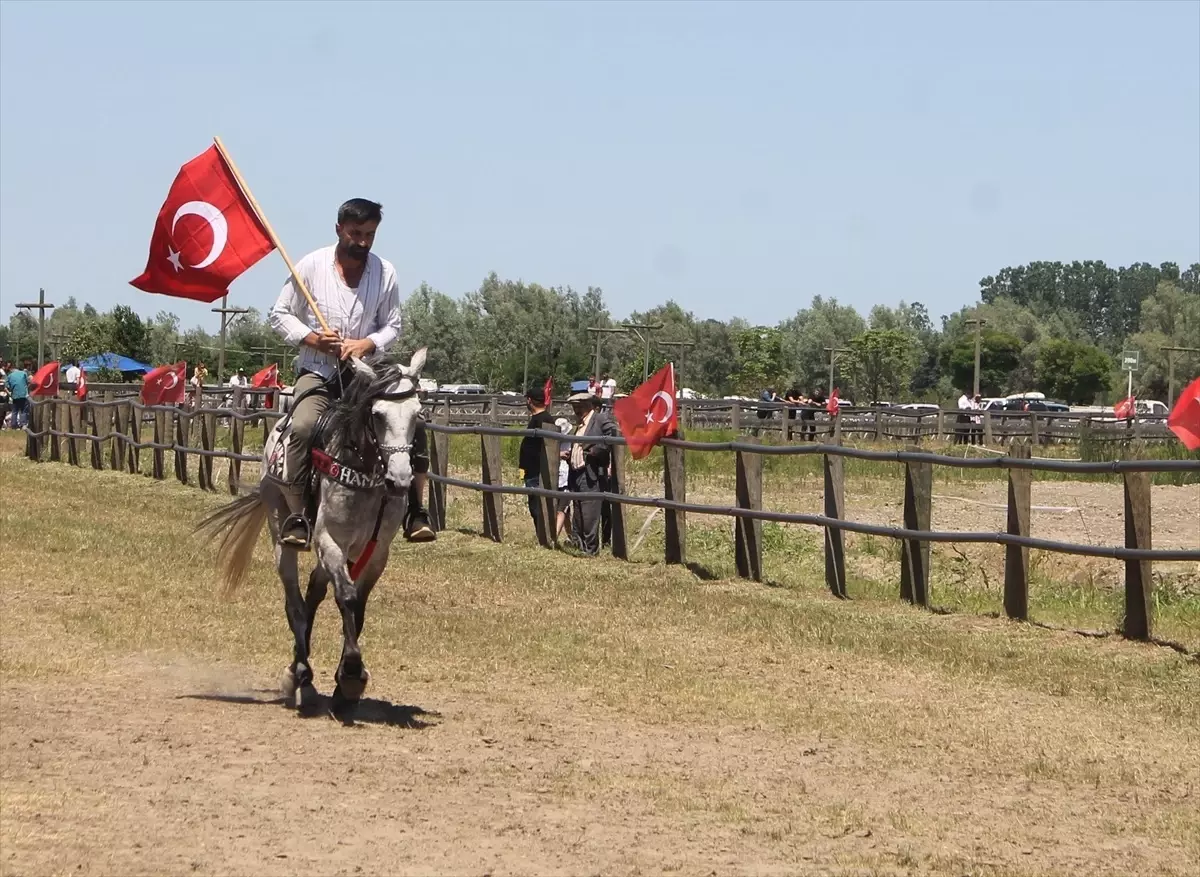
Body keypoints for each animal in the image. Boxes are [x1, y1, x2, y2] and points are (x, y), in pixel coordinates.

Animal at [192, 345, 427, 715]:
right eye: (377, 415)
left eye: (418, 414)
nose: (400, 480)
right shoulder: (330, 540)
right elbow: (346, 597)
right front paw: (350, 675)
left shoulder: (377, 552)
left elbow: (357, 606)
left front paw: (345, 685)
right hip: (281, 530)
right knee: (295, 603)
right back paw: (300, 676)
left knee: (313, 594)